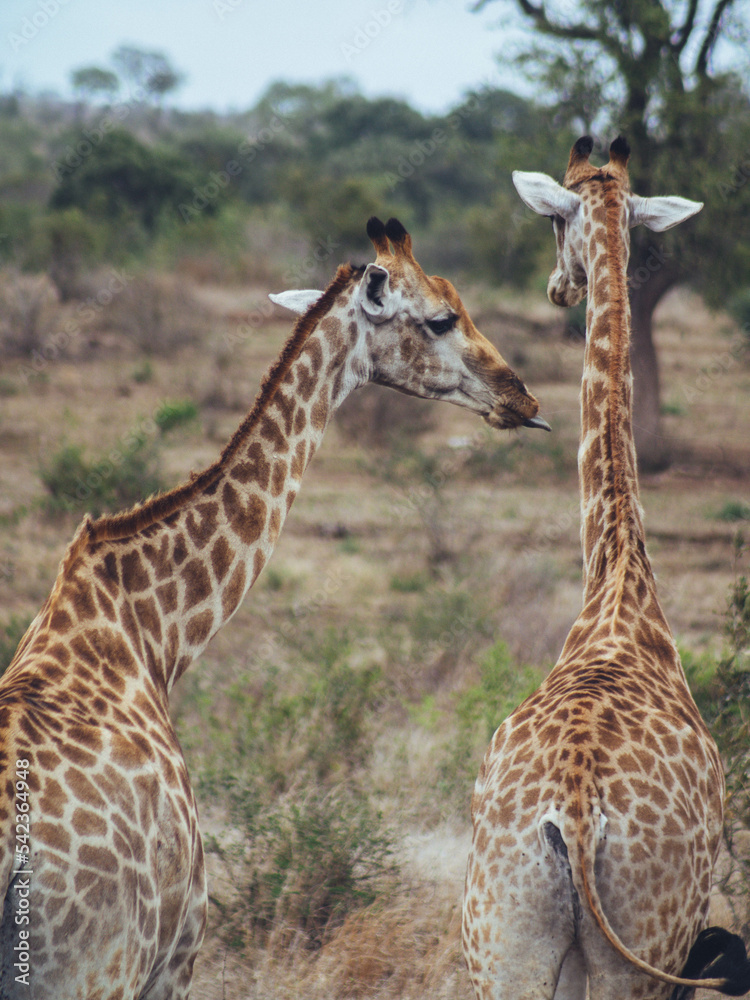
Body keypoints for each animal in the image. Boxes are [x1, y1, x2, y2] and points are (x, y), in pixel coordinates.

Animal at [462, 137, 750, 1000]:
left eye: (554, 221)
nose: (559, 286)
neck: (618, 577)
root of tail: (578, 812)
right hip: (637, 946)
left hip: (510, 943)